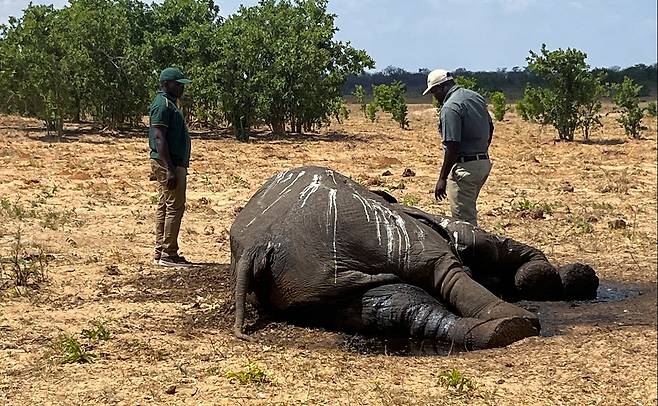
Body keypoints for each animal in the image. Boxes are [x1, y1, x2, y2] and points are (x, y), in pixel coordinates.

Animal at [228, 167, 596, 350]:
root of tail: (261, 243)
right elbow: (488, 246)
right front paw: (558, 279)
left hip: (311, 282)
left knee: (393, 307)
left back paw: (496, 331)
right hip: (374, 231)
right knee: (443, 269)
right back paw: (514, 324)